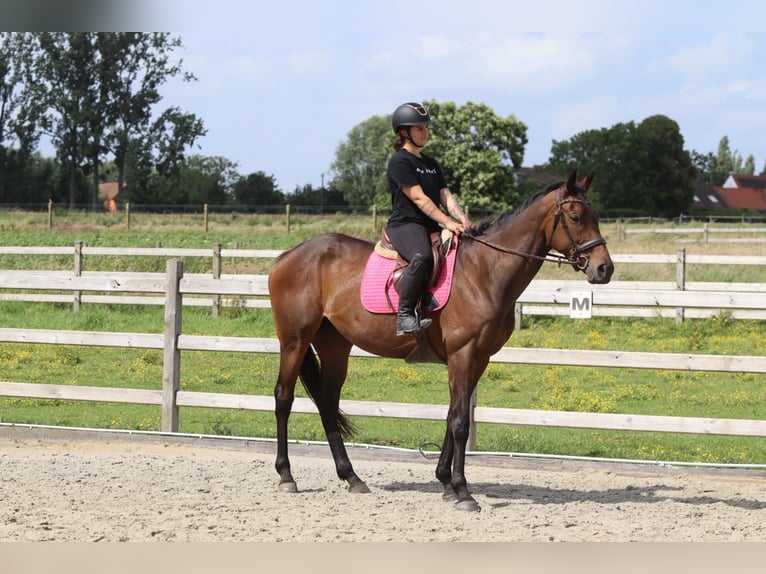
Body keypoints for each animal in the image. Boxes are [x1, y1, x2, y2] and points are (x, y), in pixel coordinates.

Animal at [267, 169, 614, 511]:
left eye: (596, 216)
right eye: (575, 216)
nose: (604, 268)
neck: (484, 272)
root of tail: (287, 256)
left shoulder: (479, 358)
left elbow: (452, 416)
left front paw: (446, 483)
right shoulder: (463, 353)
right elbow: (460, 422)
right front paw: (462, 491)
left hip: (335, 346)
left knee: (327, 402)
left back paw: (351, 477)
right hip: (295, 340)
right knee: (284, 397)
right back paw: (286, 476)